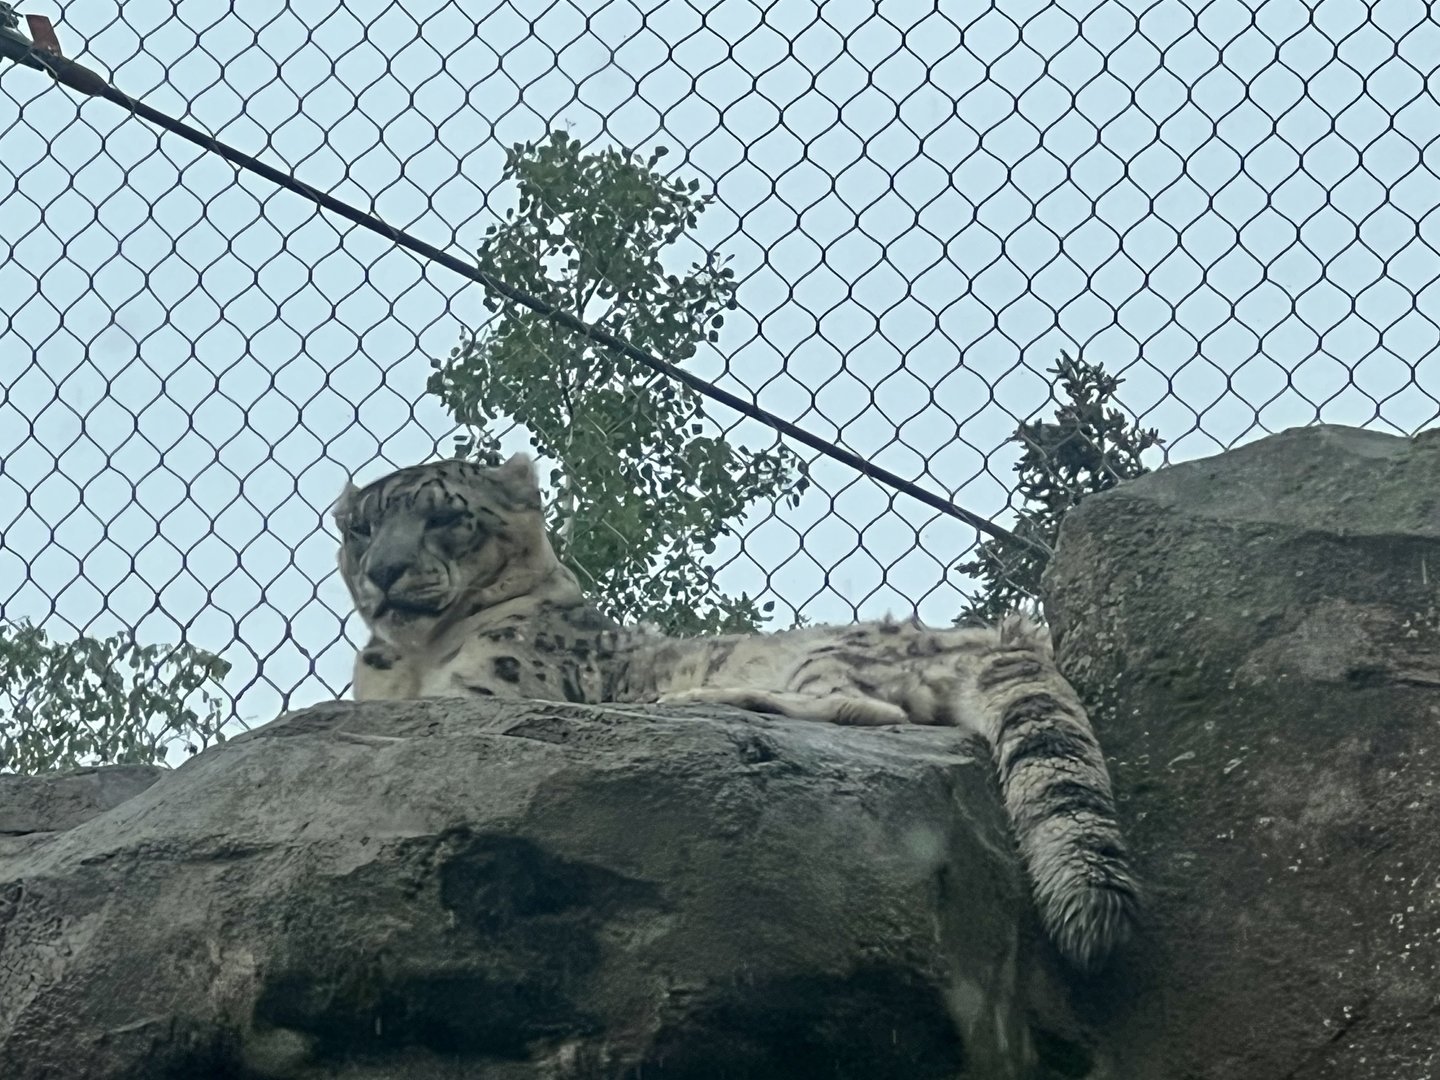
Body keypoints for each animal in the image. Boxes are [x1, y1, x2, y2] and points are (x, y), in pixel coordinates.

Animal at [332, 452, 1139, 969]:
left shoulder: (497, 691)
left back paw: (696, 697)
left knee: (862, 705)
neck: (414, 658)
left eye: (445, 516)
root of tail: (999, 633)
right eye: (360, 528)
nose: (383, 572)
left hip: (832, 654)